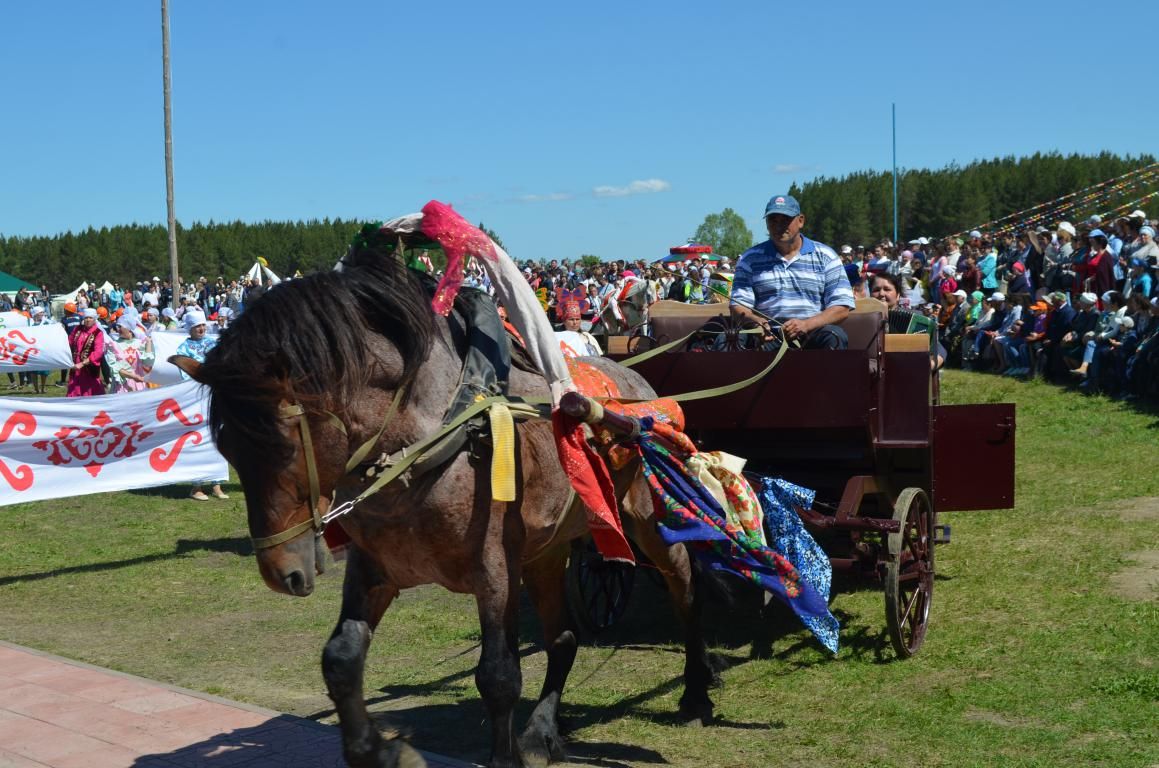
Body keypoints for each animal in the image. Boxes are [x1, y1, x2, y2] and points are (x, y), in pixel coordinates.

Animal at [172, 238, 713, 768]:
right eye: (226, 448)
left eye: (285, 447)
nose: (281, 572)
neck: (428, 437)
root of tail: (635, 383)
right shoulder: (376, 566)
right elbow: (341, 658)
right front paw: (375, 749)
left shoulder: (493, 566)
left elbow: (498, 676)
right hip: (547, 550)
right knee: (562, 639)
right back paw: (542, 731)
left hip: (647, 519)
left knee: (686, 586)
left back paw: (696, 690)